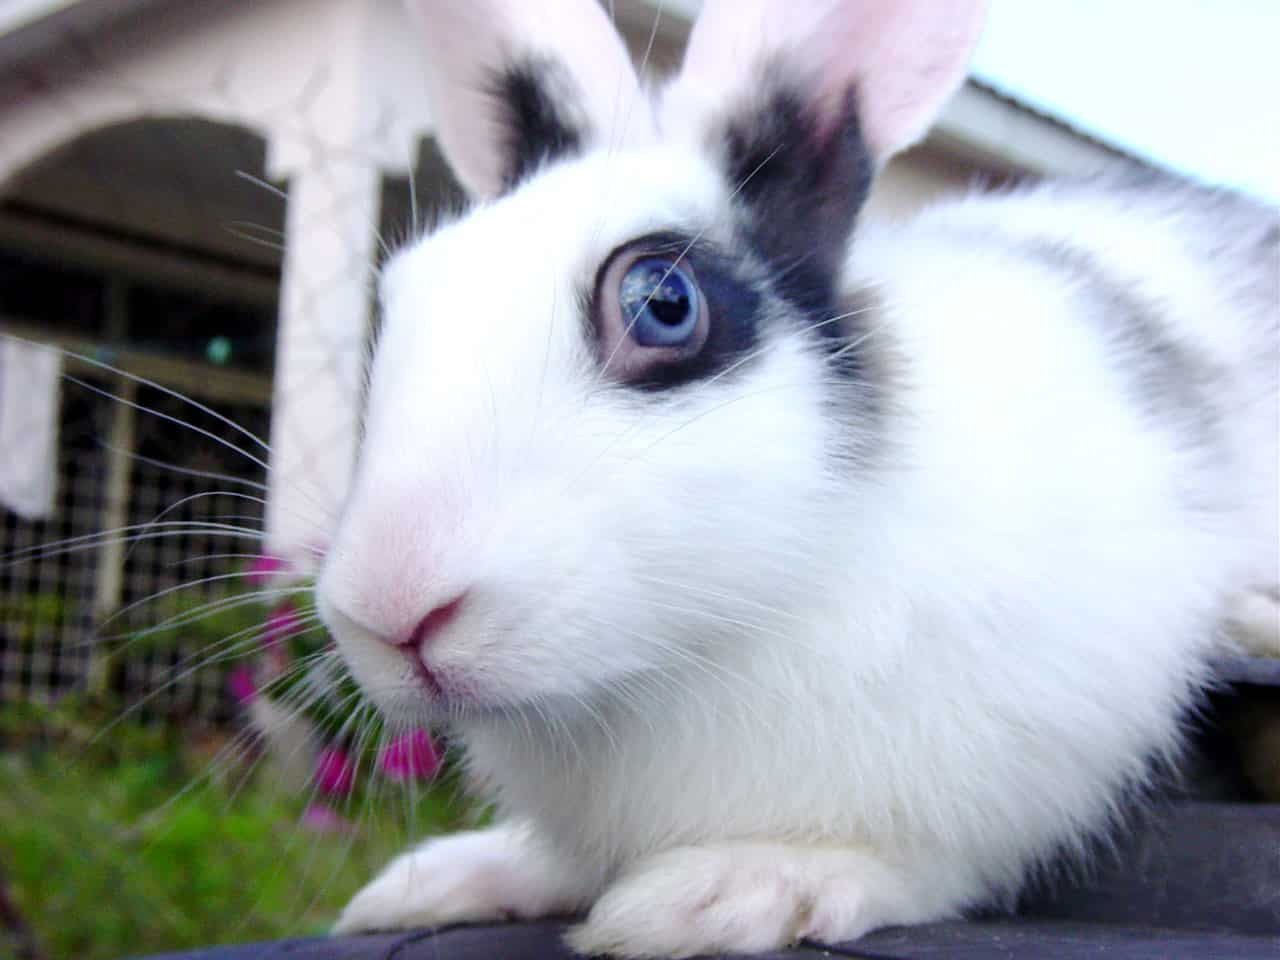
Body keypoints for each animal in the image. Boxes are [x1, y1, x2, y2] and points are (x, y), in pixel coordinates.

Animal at [314, 0, 1274, 957]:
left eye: (663, 303)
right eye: (398, 296)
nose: (390, 613)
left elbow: (918, 858)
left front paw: (728, 893)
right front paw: (438, 883)